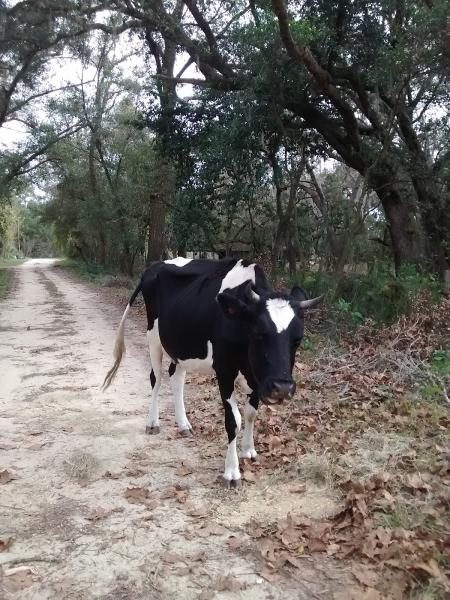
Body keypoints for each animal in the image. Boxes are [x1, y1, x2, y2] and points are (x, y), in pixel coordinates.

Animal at [103, 258, 320, 488]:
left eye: (297, 339)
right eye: (259, 333)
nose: (282, 388)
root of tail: (154, 266)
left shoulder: (257, 378)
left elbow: (251, 413)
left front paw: (248, 450)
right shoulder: (224, 371)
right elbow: (234, 420)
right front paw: (232, 472)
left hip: (180, 346)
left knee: (175, 377)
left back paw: (183, 424)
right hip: (153, 335)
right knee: (156, 379)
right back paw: (153, 423)